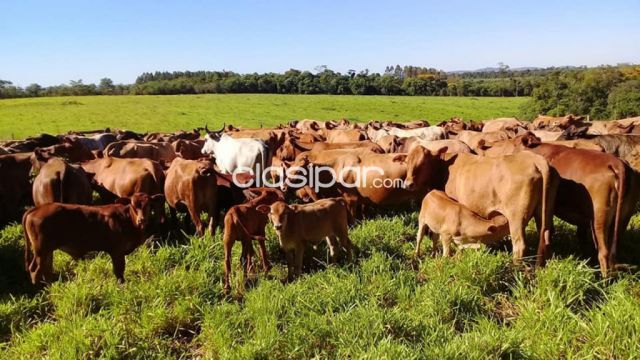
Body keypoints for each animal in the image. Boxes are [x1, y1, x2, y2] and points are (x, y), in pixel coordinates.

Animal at [23, 193, 165, 282]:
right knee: (35, 271)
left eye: (149, 205)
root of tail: (38, 208)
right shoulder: (117, 251)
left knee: (46, 270)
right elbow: (119, 271)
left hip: (47, 251)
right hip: (41, 251)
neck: (127, 219)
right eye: (133, 205)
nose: (142, 220)